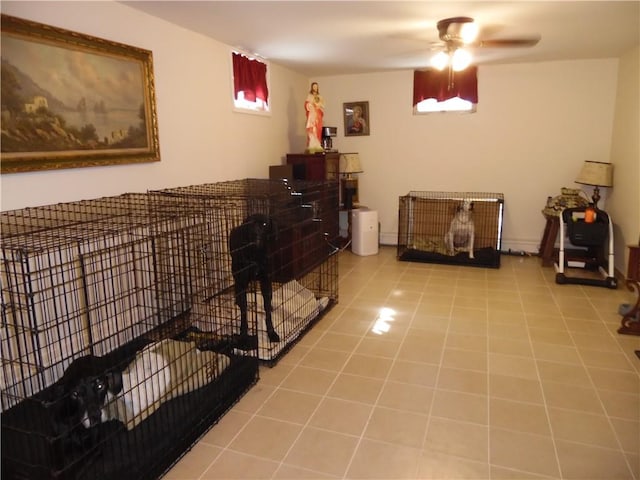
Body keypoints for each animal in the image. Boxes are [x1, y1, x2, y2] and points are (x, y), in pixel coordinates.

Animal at [230, 213, 280, 342]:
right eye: (250, 224)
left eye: (264, 224)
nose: (255, 238)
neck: (255, 255)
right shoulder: (242, 282)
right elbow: (243, 311)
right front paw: (243, 334)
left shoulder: (266, 282)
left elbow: (267, 310)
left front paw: (272, 333)